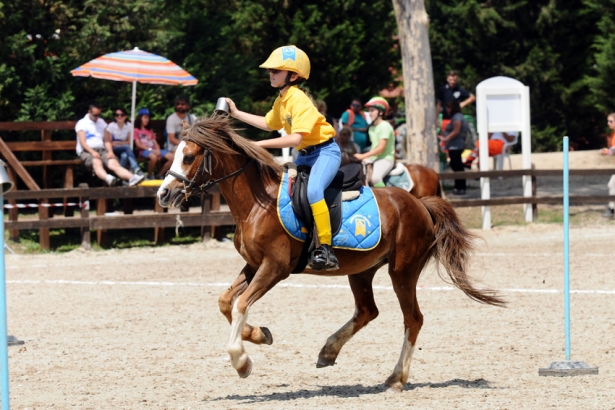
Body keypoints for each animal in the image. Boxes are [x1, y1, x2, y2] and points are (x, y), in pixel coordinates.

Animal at [156, 117, 502, 392]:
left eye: (188, 156)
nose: (163, 193)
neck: (257, 202)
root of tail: (420, 204)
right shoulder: (253, 265)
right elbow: (226, 302)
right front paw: (258, 334)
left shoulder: (275, 267)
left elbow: (240, 304)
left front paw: (241, 361)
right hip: (362, 270)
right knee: (367, 311)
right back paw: (329, 351)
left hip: (402, 271)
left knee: (412, 319)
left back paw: (396, 379)